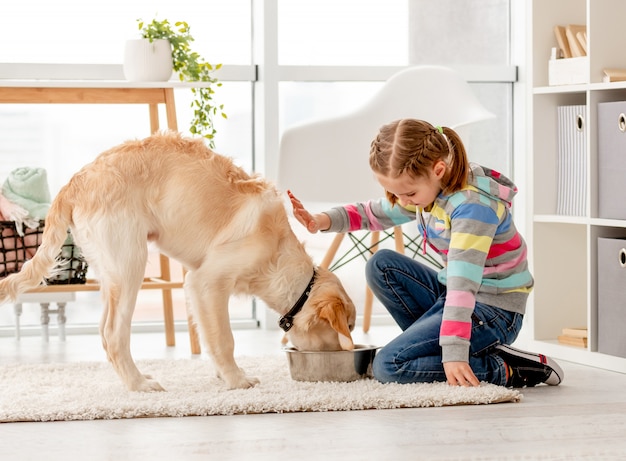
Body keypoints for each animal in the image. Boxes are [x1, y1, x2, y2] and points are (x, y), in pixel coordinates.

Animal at [0, 131, 354, 390]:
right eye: (348, 327)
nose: (348, 353)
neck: (279, 251)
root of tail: (78, 179)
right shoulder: (206, 283)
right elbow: (224, 338)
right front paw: (237, 379)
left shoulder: (199, 288)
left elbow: (210, 334)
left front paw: (222, 374)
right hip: (130, 263)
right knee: (114, 334)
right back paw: (139, 385)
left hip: (111, 271)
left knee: (104, 330)